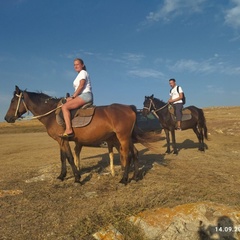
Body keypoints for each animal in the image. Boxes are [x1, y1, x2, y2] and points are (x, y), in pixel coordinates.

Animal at [4, 86, 139, 184]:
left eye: (12, 101)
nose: (6, 118)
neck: (51, 114)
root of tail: (129, 107)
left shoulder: (63, 140)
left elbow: (69, 157)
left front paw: (77, 178)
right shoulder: (61, 140)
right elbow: (62, 157)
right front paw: (61, 175)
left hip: (123, 138)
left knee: (127, 155)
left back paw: (124, 179)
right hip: (123, 138)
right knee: (134, 153)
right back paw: (135, 177)